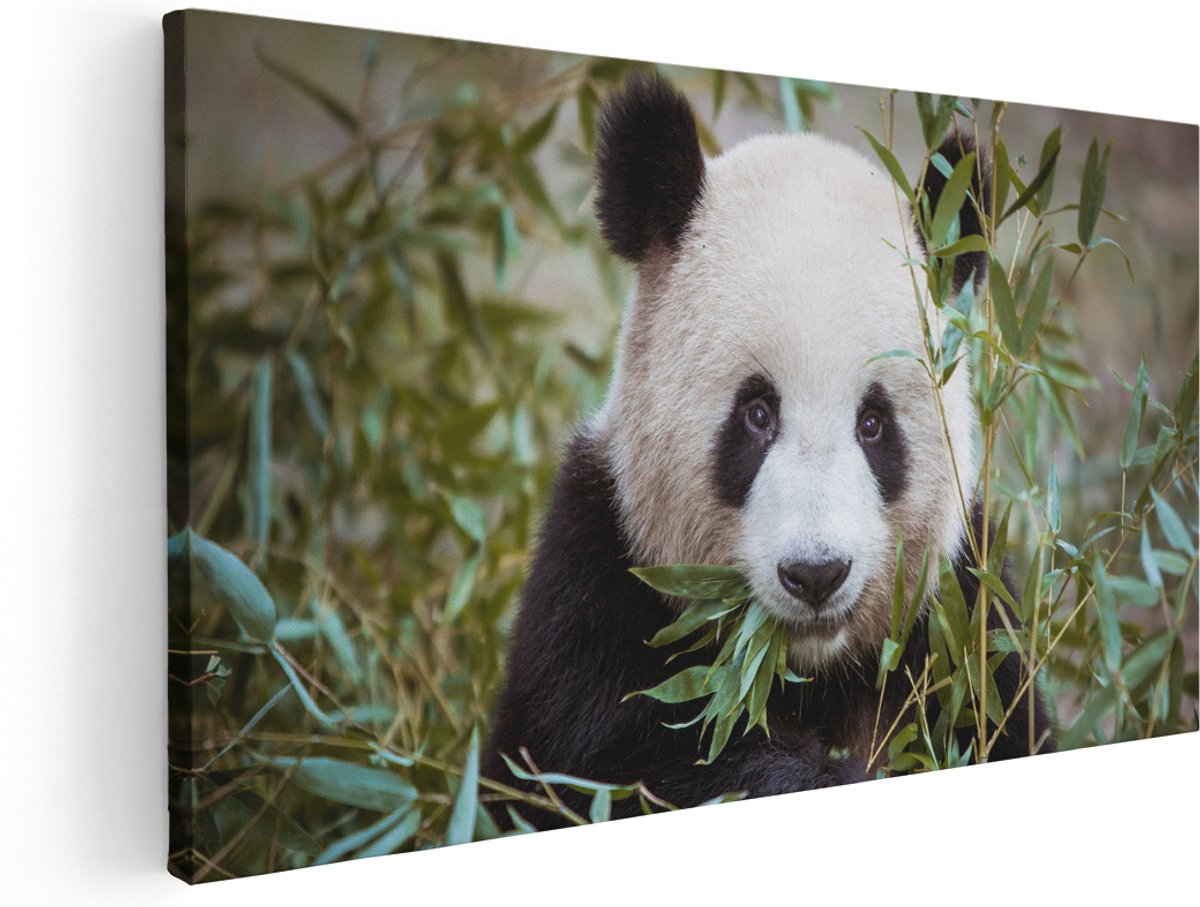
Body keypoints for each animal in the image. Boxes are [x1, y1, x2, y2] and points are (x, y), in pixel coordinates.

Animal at [483, 73, 1054, 828]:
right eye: (756, 413)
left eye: (874, 423)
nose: (816, 573)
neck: (802, 669)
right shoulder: (597, 578)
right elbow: (609, 764)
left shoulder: (966, 618)